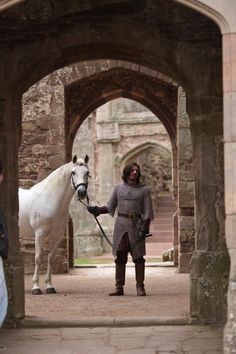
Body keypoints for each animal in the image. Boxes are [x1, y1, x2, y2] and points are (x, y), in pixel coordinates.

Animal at [18, 153, 89, 294]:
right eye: (73, 172)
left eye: (87, 172)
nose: (82, 192)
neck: (51, 200)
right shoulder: (39, 233)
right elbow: (38, 258)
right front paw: (36, 287)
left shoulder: (57, 236)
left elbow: (50, 258)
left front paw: (49, 286)